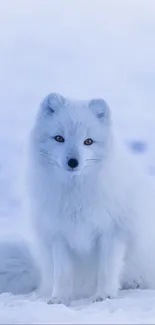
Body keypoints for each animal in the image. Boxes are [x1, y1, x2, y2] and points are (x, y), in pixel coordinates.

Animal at [26, 93, 155, 304]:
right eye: (59, 138)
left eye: (88, 141)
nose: (73, 162)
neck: (76, 194)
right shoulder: (58, 235)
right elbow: (62, 273)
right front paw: (60, 298)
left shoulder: (112, 231)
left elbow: (107, 269)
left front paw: (104, 295)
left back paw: (133, 283)